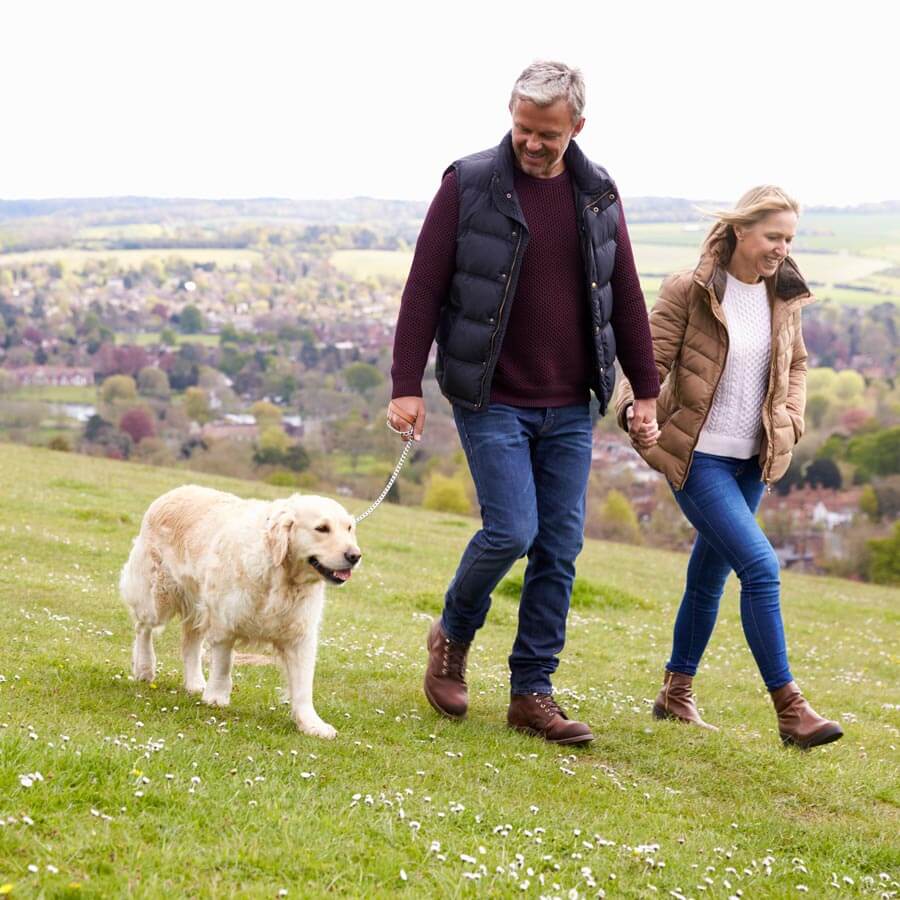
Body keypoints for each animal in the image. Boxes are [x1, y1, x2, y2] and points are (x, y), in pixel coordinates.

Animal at [118, 486, 360, 740]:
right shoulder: (224, 622)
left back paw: (194, 682)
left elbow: (303, 685)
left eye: (348, 528)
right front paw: (217, 697)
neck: (281, 576)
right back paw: (145, 667)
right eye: (322, 528)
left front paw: (312, 724)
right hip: (157, 596)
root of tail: (174, 492)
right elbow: (224, 663)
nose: (355, 556)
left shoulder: (300, 636)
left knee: (189, 642)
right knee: (143, 628)